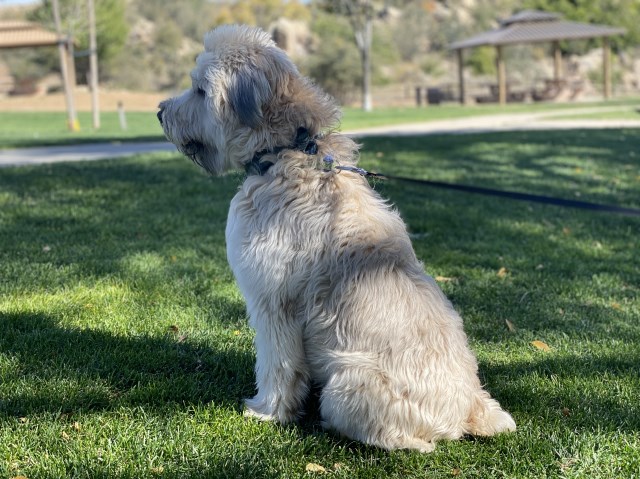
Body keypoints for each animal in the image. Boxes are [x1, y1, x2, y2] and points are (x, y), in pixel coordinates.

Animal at [158, 24, 516, 452]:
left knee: (407, 441)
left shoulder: (273, 302)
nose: (159, 111)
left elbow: (277, 363)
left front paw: (267, 411)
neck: (285, 152)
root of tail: (471, 405)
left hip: (348, 386)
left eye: (199, 89)